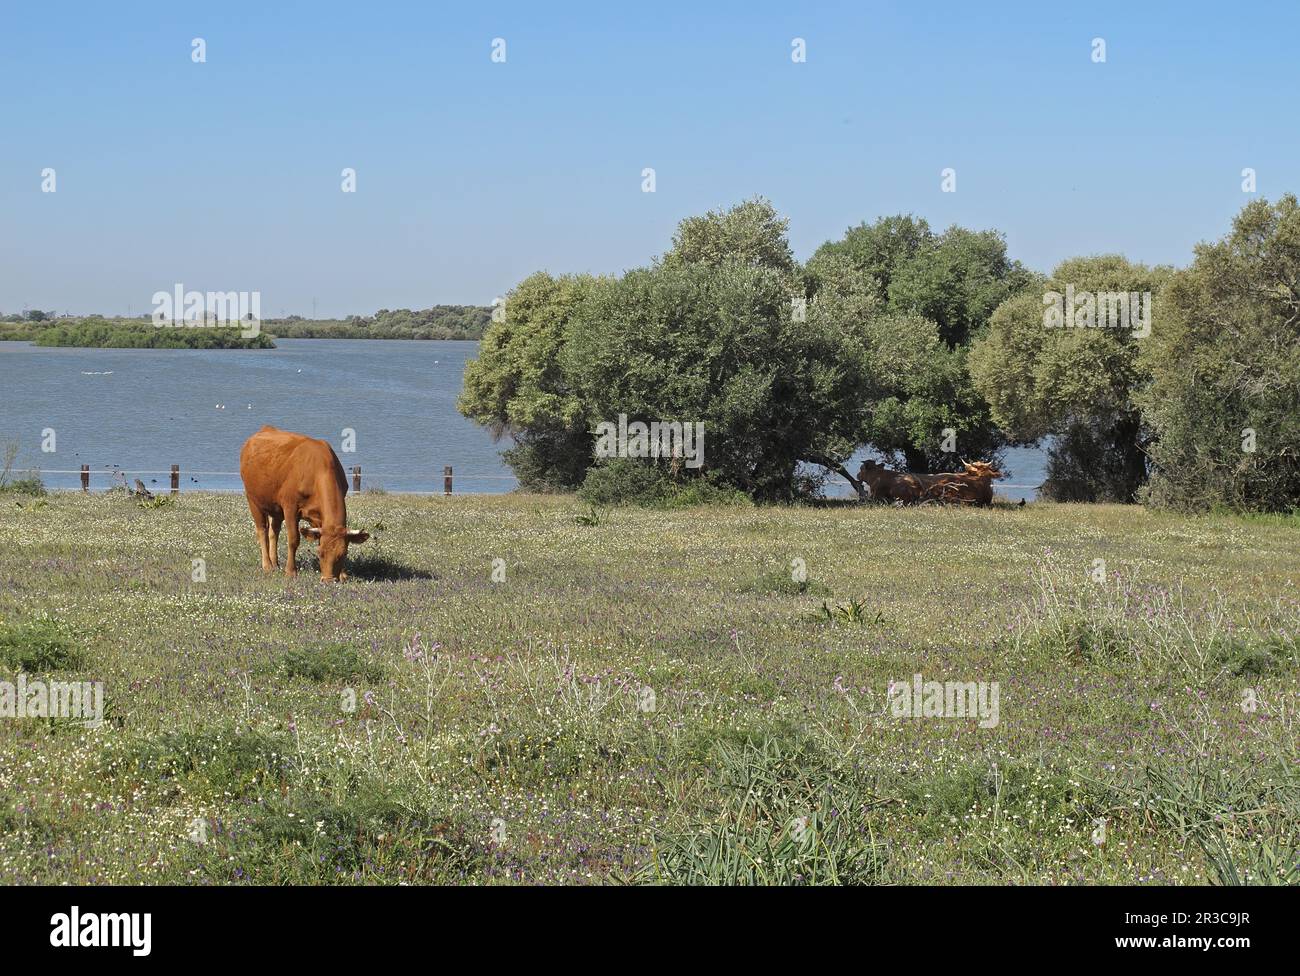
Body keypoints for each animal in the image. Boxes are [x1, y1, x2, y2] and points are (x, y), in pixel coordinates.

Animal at [239, 426, 369, 579]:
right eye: (320, 553)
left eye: (344, 554)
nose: (329, 580)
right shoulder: (290, 507)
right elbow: (293, 539)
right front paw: (290, 571)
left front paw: (343, 575)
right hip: (253, 500)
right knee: (262, 531)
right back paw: (267, 566)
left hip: (275, 508)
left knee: (273, 531)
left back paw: (275, 564)